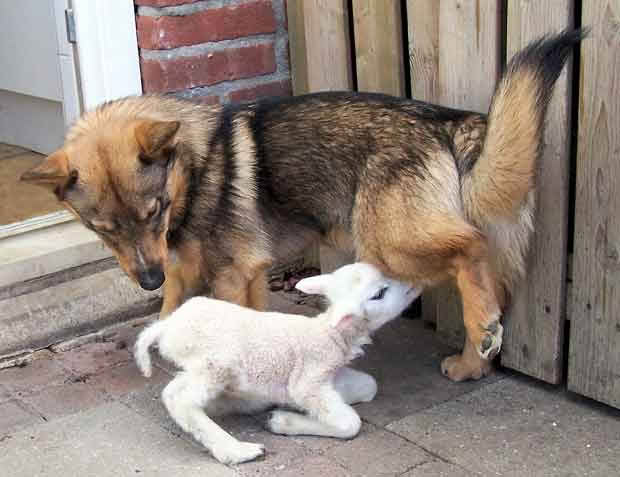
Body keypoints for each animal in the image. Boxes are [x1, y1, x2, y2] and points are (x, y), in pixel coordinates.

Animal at [21, 28, 584, 380]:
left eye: (154, 210)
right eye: (103, 229)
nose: (147, 279)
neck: (196, 169)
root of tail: (446, 123)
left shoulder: (232, 274)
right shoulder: (195, 273)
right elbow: (172, 310)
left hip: (388, 241)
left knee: (472, 248)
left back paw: (482, 328)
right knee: (487, 273)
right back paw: (473, 361)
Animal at [131, 262, 422, 462]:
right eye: (380, 293)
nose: (413, 279)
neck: (329, 334)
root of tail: (167, 327)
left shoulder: (329, 376)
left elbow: (368, 386)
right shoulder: (308, 380)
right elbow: (350, 423)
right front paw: (283, 421)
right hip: (217, 363)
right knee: (178, 398)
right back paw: (236, 450)